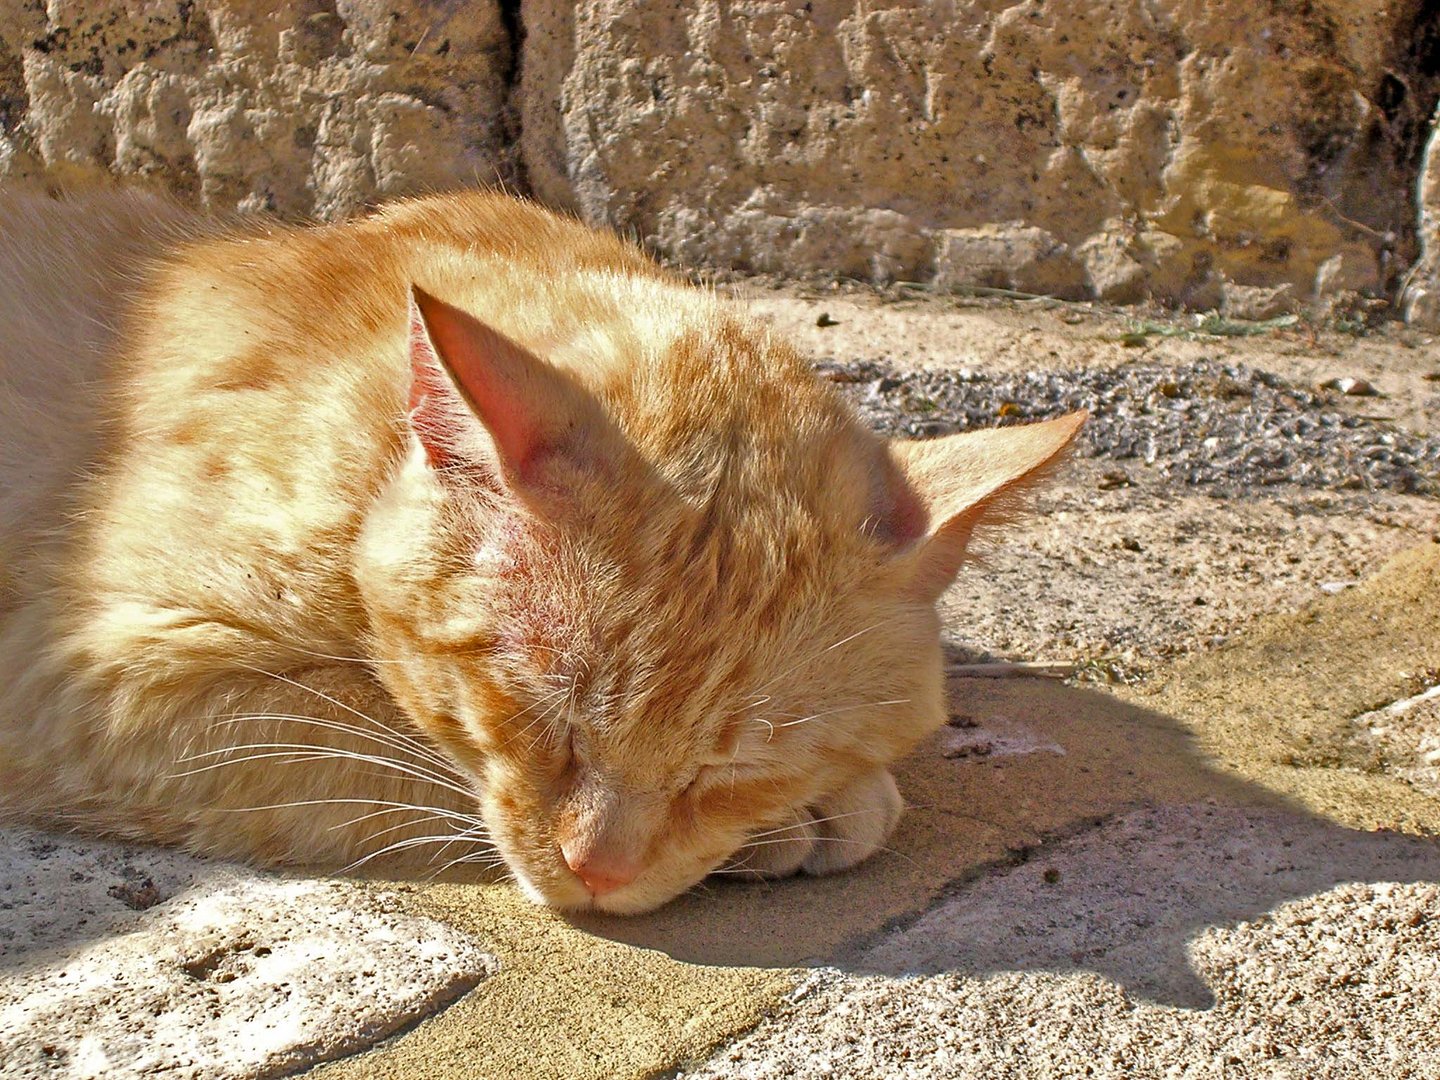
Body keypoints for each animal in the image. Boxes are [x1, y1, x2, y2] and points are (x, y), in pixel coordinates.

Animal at [0, 185, 1082, 915]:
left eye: (733, 769)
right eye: (538, 714)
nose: (599, 870)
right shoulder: (93, 670)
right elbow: (379, 730)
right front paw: (808, 818)